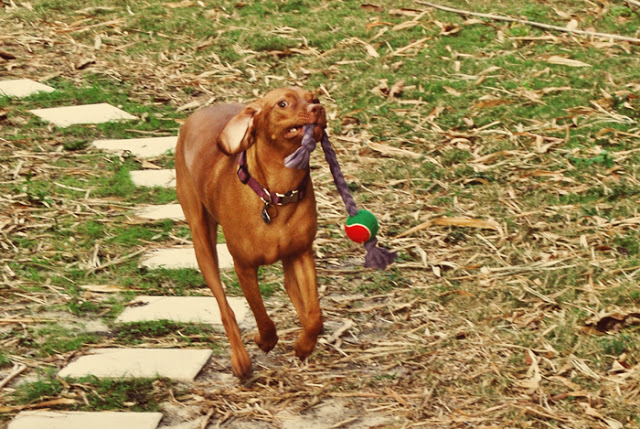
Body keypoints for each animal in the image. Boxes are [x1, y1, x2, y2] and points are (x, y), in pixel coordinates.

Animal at [174, 88, 324, 376]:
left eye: (314, 97)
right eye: (282, 104)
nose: (318, 109)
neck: (277, 193)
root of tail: (200, 112)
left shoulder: (301, 254)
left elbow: (314, 317)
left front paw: (304, 345)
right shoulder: (244, 266)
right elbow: (261, 316)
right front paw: (264, 341)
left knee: (293, 291)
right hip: (202, 241)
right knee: (224, 307)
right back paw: (240, 360)